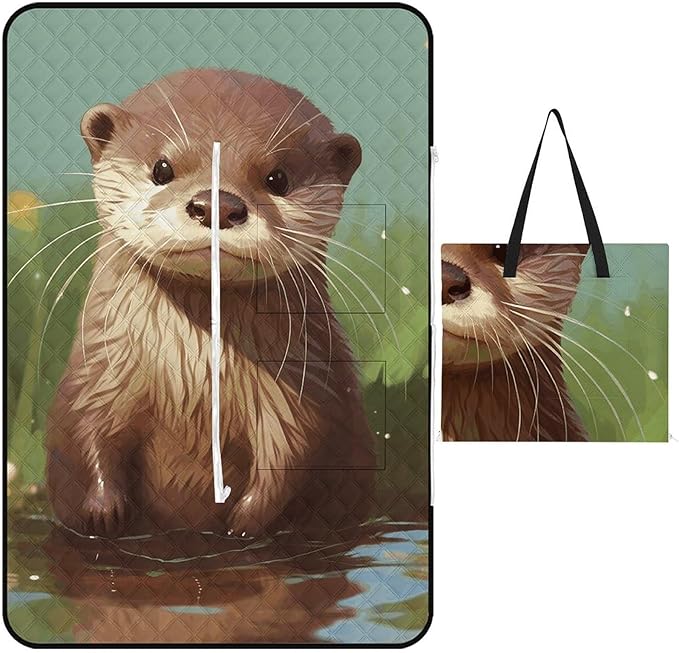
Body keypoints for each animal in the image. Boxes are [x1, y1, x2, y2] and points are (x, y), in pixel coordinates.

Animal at [46, 69, 375, 538]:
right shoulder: (101, 374)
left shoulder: (299, 388)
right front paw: (102, 512)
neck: (192, 378)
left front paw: (245, 523)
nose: (215, 204)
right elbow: (90, 430)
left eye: (278, 178)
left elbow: (291, 451)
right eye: (162, 168)